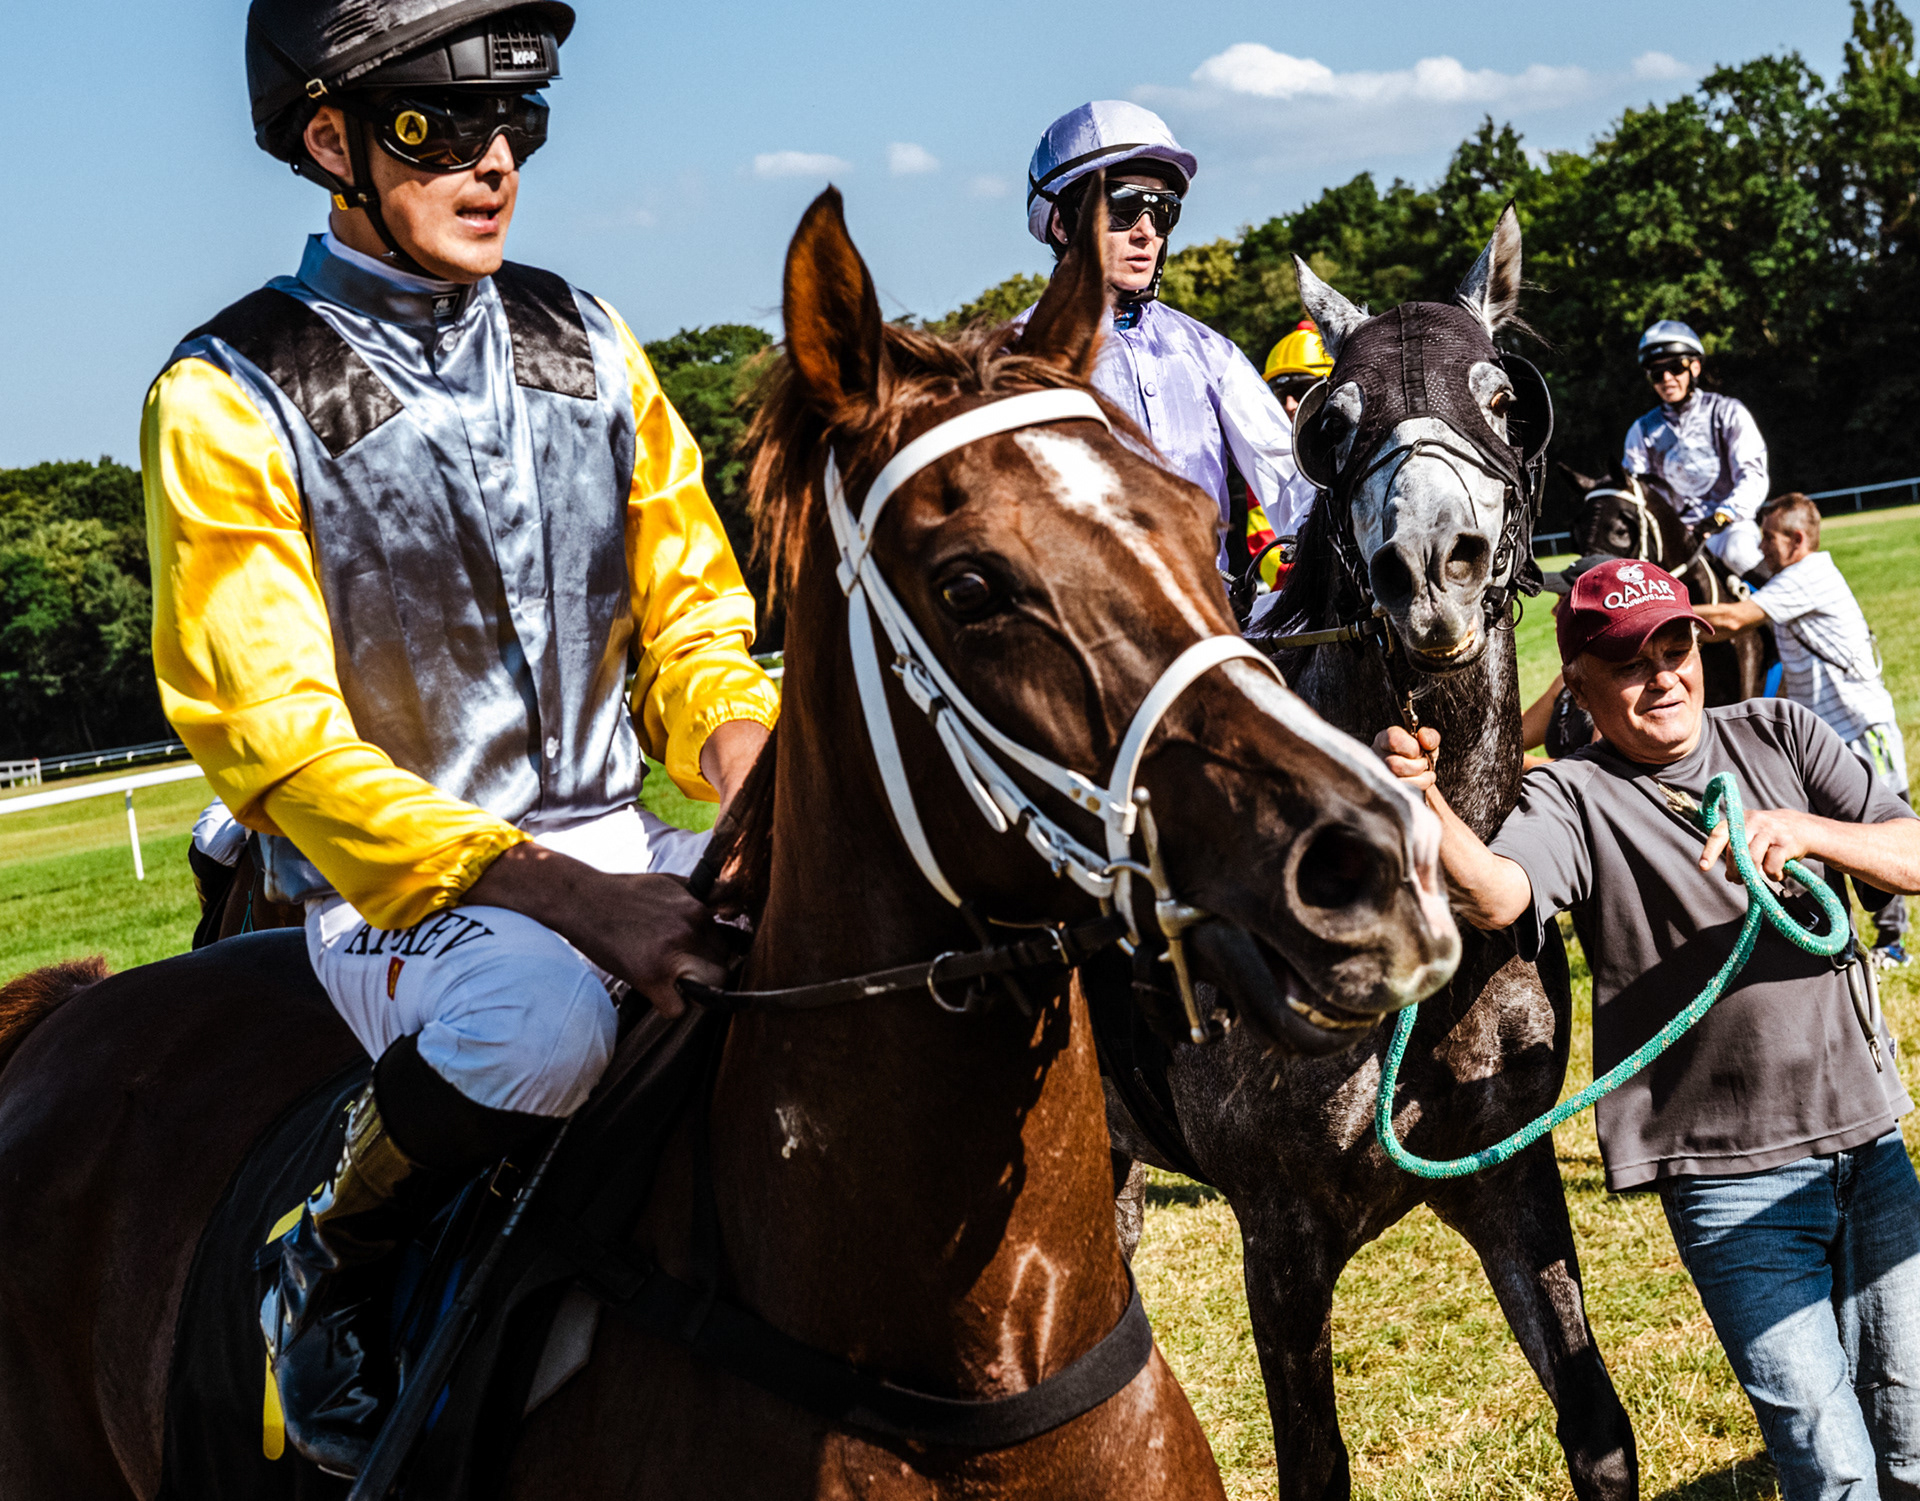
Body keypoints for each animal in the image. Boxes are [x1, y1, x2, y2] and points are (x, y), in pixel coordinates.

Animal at [1107, 208, 1640, 1501]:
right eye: (1334, 420)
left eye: (1502, 396)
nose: (1429, 564)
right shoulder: (1280, 1239)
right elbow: (1315, 1468)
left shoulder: (1507, 1178)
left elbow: (1597, 1429)